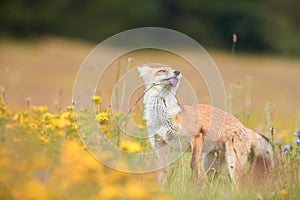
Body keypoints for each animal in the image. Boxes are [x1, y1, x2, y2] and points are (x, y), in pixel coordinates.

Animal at [137, 65, 276, 186]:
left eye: (174, 70)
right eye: (162, 70)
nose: (177, 72)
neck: (162, 118)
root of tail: (245, 128)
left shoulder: (196, 136)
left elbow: (193, 164)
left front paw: (197, 184)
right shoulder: (160, 146)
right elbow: (161, 173)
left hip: (232, 165)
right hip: (211, 167)